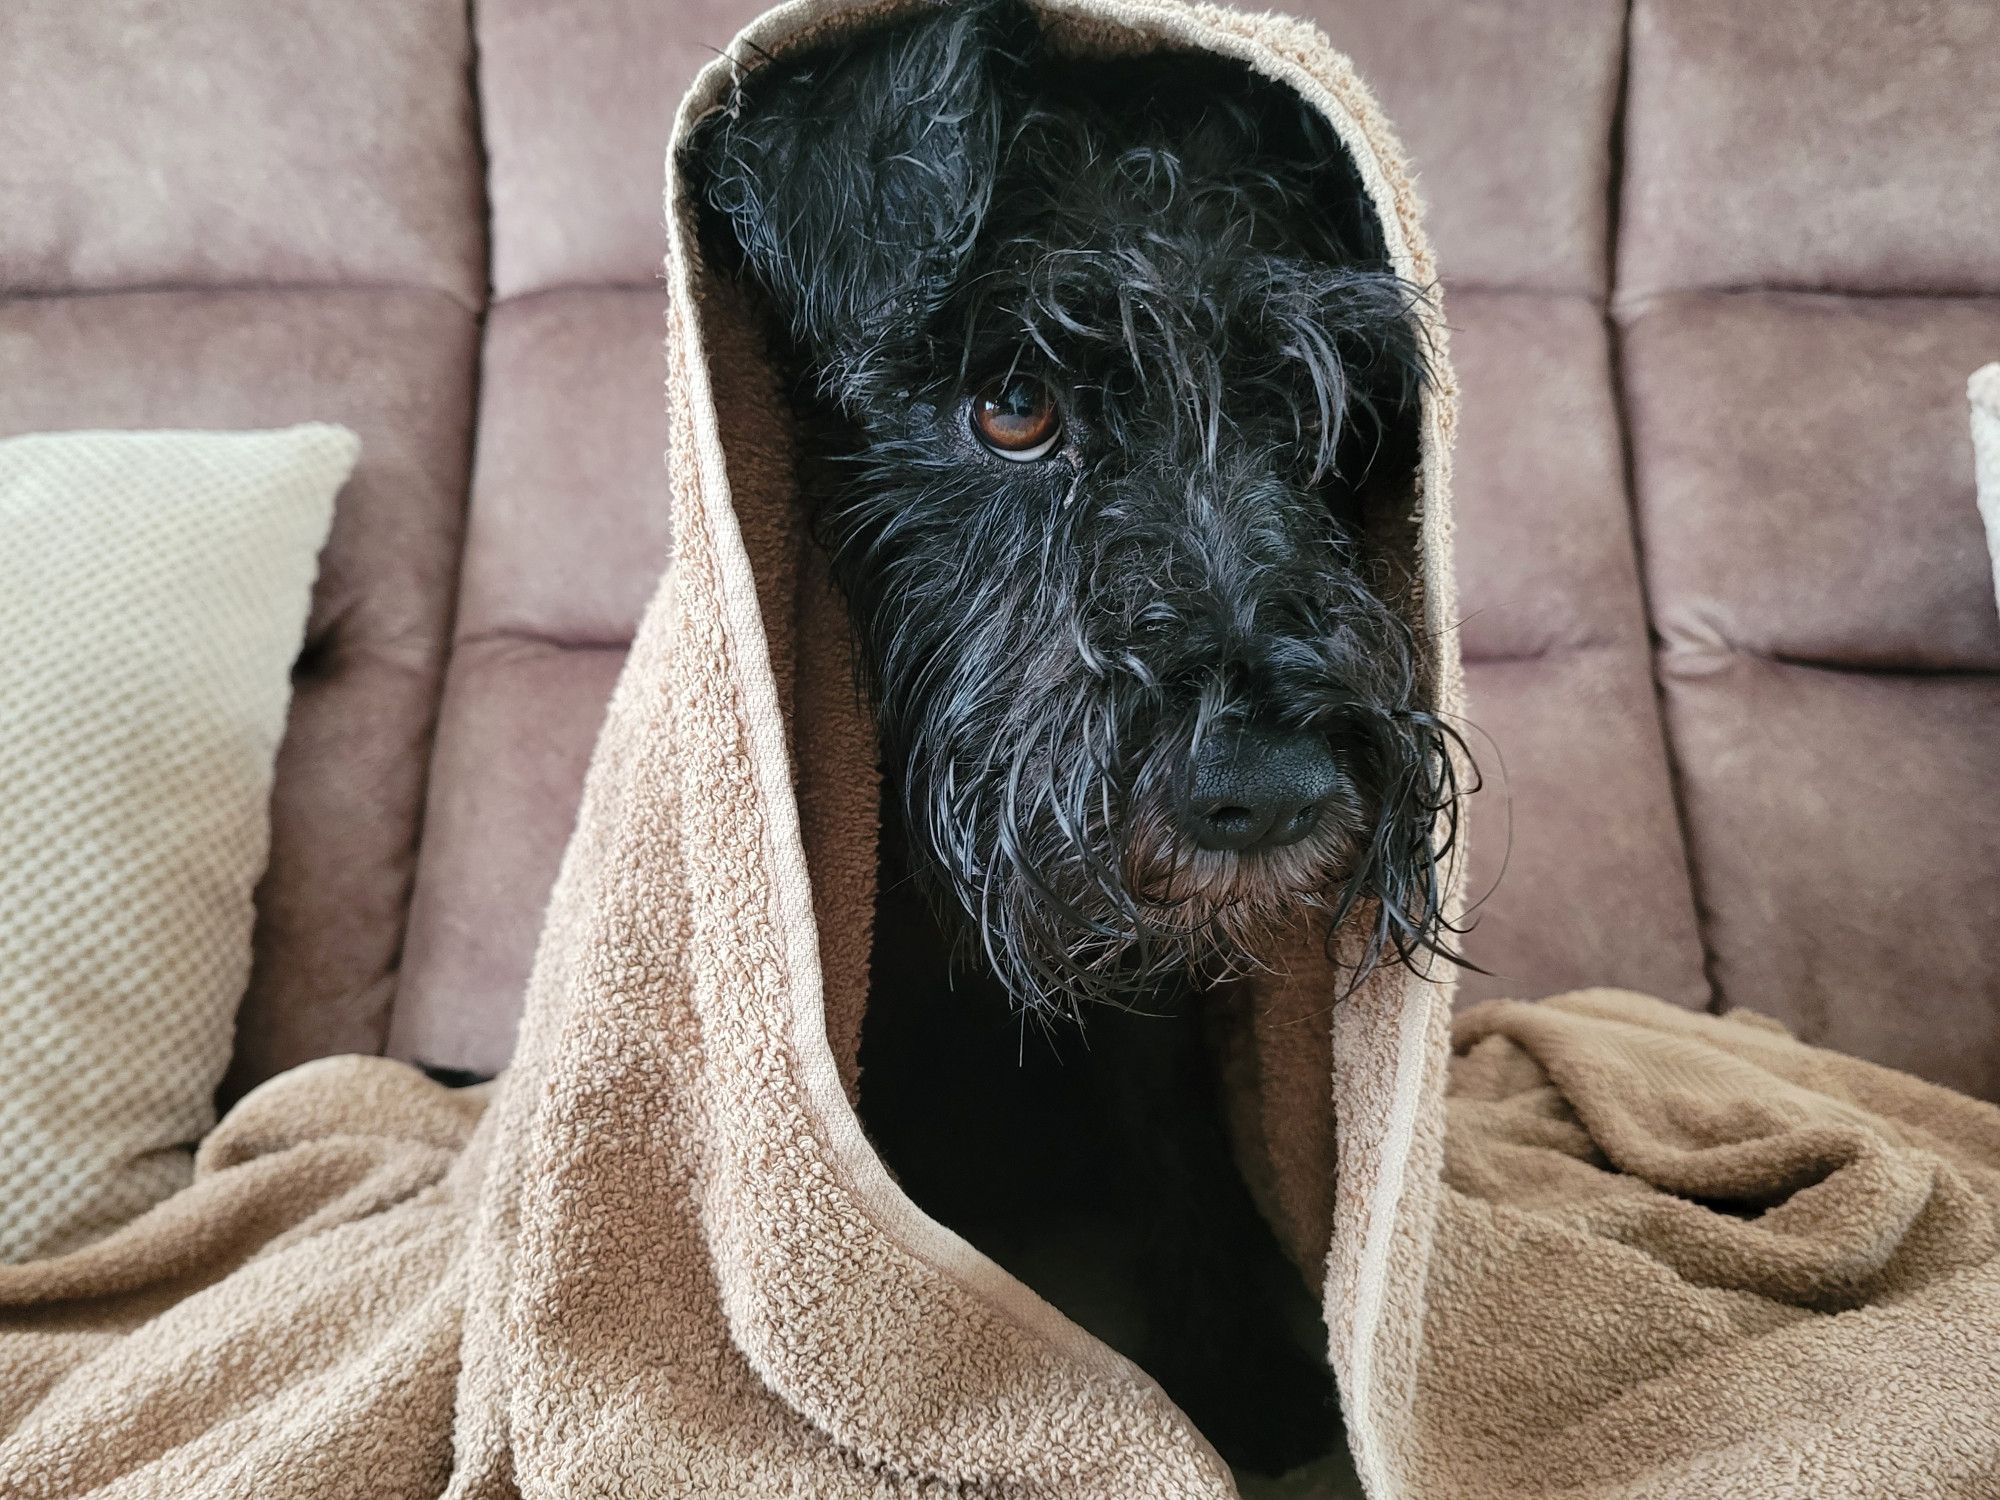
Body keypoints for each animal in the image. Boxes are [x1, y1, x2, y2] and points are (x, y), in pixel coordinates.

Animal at [696, 0, 1464, 1480]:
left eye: (1310, 416)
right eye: (1012, 406)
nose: (1267, 790)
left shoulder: (1146, 1003)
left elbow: (1176, 1141)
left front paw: (1236, 1364)